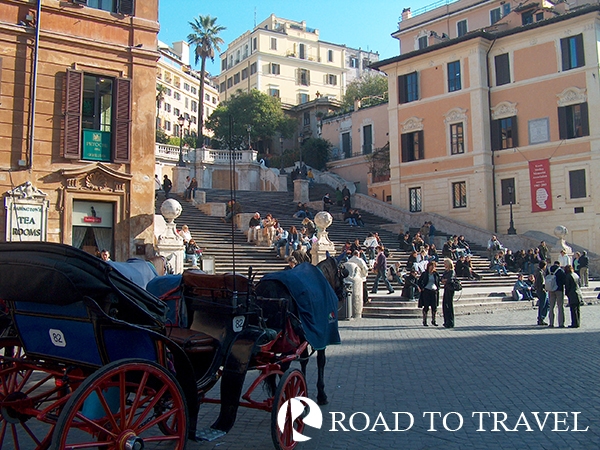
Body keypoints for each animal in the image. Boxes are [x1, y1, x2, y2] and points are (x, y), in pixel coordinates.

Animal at [253, 256, 346, 404]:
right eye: (343, 273)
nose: (345, 293)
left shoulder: (304, 336)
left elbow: (304, 359)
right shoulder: (322, 335)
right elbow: (321, 360)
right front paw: (321, 394)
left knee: (271, 367)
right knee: (282, 365)